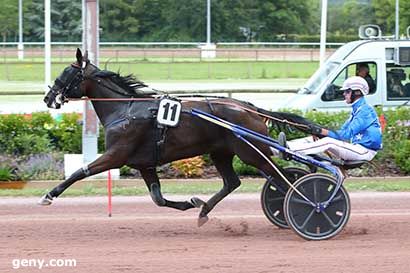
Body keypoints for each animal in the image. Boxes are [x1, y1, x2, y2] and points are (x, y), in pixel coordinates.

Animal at [40, 48, 310, 225]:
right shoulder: (145, 164)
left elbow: (80, 172)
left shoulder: (116, 155)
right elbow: (158, 198)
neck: (125, 109)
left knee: (282, 178)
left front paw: (49, 196)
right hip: (221, 152)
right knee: (235, 182)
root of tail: (250, 108)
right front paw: (191, 203)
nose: (48, 98)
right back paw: (204, 211)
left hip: (251, 152)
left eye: (66, 73)